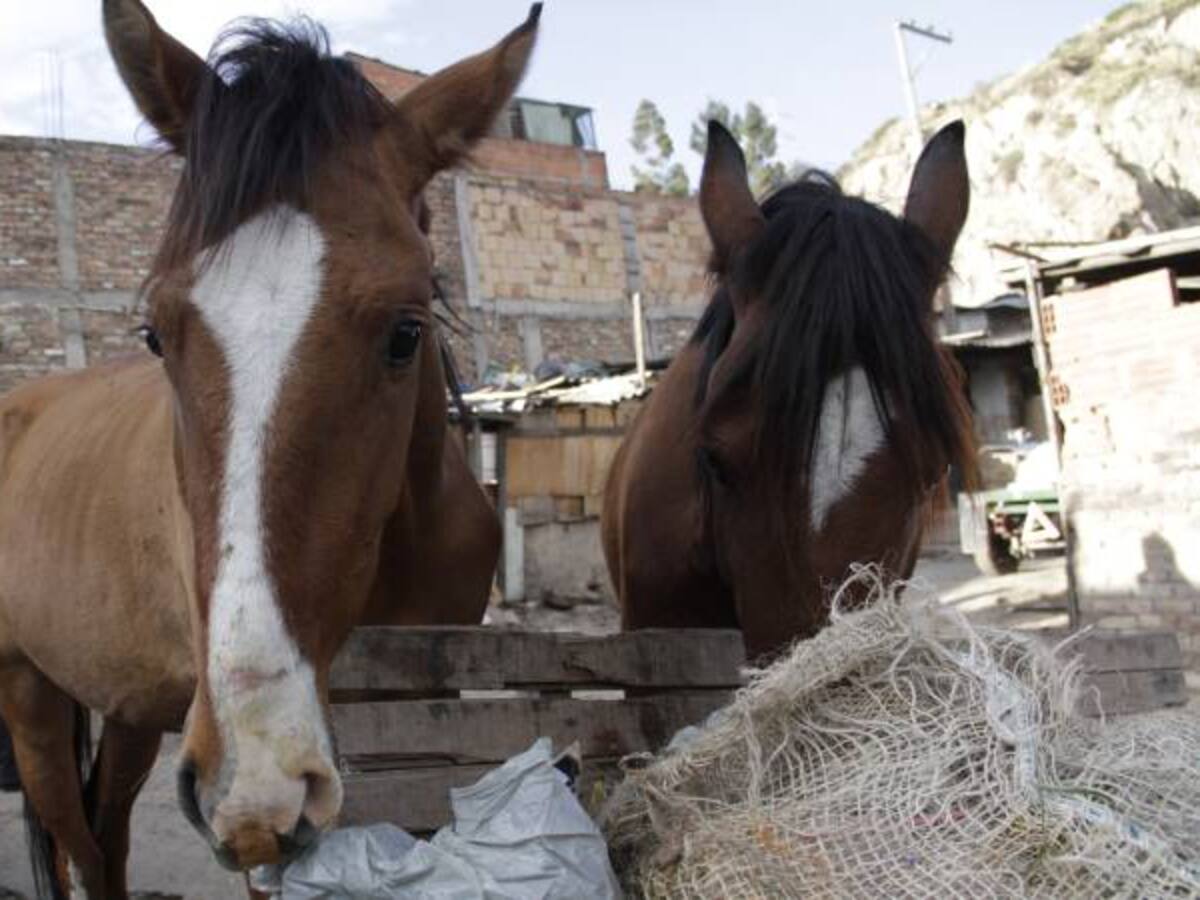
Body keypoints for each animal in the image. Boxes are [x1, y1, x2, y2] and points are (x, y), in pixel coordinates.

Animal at [0, 1, 541, 894]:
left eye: (406, 333)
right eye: (156, 334)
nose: (256, 777)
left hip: (130, 710)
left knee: (106, 832)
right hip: (32, 695)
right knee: (76, 839)